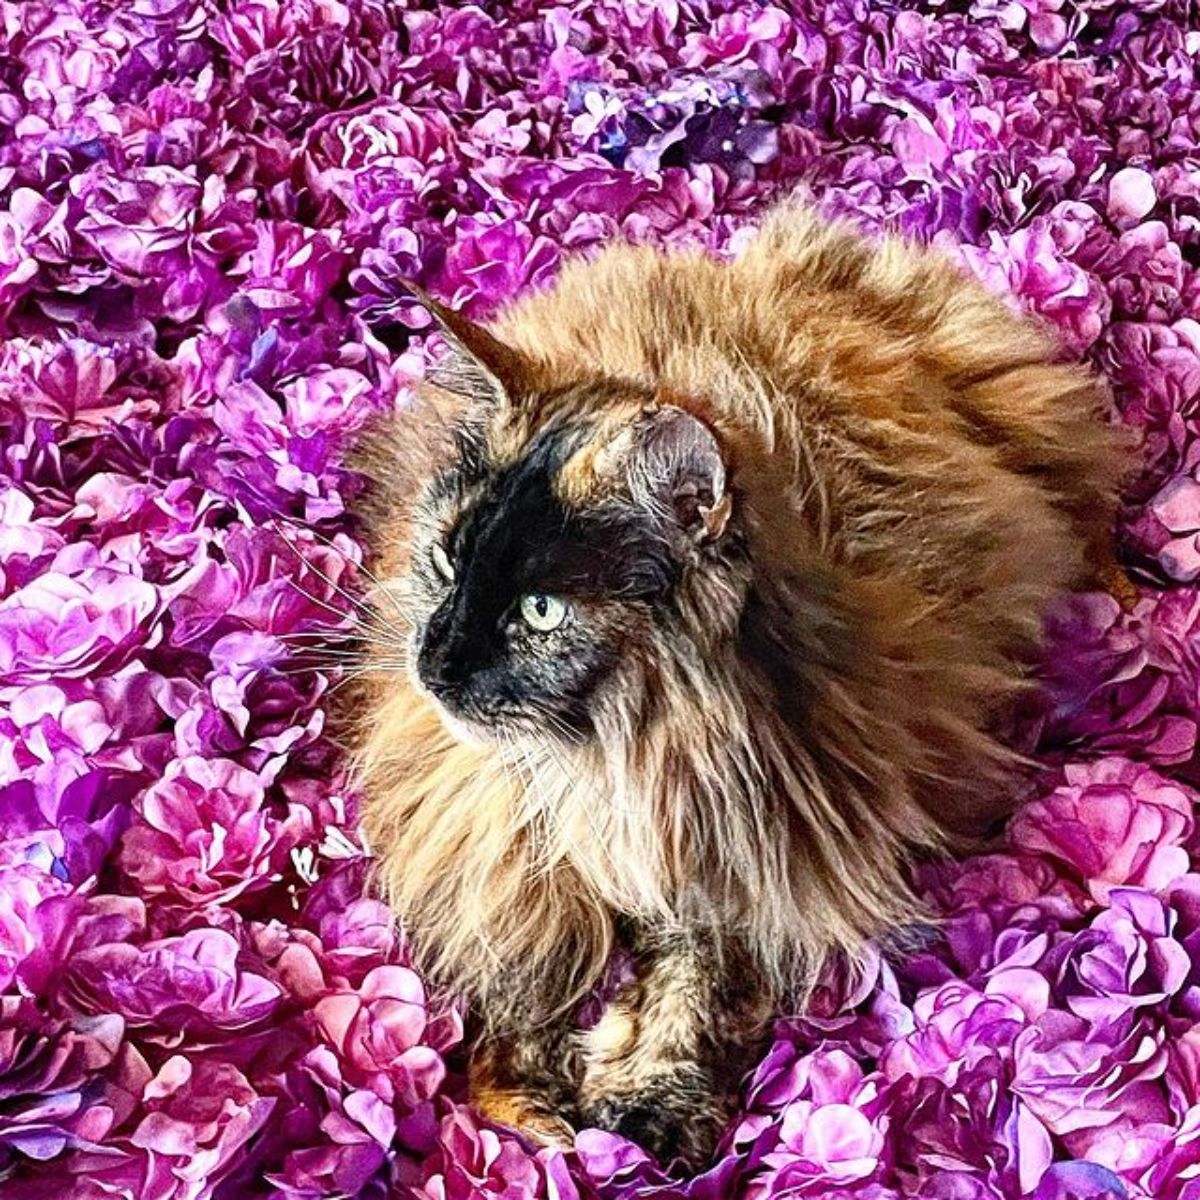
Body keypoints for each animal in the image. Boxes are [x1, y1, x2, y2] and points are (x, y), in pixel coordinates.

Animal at [340, 201, 1132, 1166]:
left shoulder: (755, 857)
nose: (436, 664)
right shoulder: (508, 856)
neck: (613, 762)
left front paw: (649, 1101)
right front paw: (525, 1106)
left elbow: (701, 983)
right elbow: (525, 969)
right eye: (451, 560)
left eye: (540, 610)